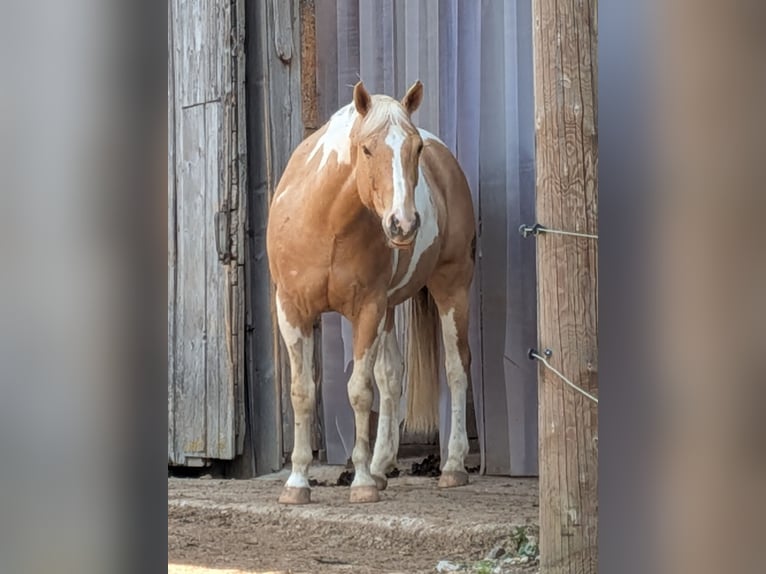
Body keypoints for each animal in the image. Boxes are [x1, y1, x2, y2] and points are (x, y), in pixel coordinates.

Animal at [266, 80, 476, 504]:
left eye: (415, 148)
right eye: (366, 149)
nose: (403, 224)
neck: (325, 222)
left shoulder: (366, 310)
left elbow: (360, 391)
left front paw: (361, 482)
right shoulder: (291, 310)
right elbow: (302, 392)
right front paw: (297, 483)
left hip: (451, 288)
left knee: (456, 367)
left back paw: (452, 466)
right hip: (391, 309)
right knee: (391, 376)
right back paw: (382, 467)